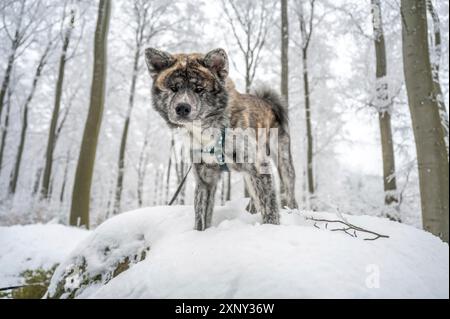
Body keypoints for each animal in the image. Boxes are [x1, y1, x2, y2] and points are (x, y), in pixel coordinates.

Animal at [145, 47, 298, 231]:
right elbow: (201, 217)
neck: (208, 132)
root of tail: (266, 101)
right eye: (174, 88)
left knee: (289, 191)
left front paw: (271, 228)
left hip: (283, 161)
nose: (182, 108)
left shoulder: (259, 165)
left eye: (199, 89)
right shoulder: (205, 179)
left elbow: (270, 208)